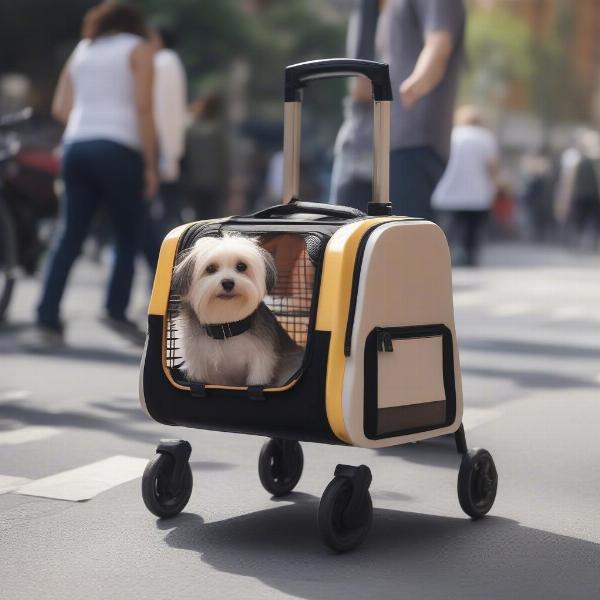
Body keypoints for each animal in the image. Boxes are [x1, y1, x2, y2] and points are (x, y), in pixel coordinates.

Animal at [173, 232, 304, 386]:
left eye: (241, 266)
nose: (228, 283)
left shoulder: (261, 361)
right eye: (210, 268)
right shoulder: (198, 363)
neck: (226, 326)